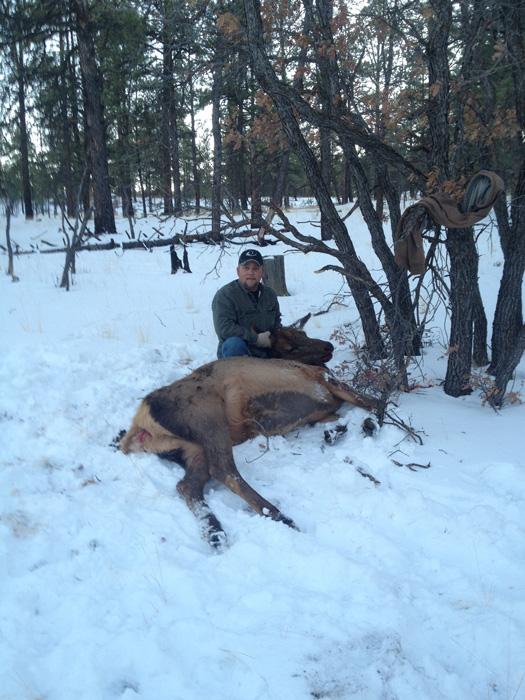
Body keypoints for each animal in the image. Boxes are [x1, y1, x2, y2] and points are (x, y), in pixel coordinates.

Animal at [120, 356, 376, 548]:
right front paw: (368, 424)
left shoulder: (325, 411)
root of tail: (139, 423)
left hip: (192, 448)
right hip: (208, 415)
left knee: (187, 485)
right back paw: (278, 515)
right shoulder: (327, 380)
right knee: (223, 470)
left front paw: (339, 432)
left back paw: (215, 533)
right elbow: (372, 403)